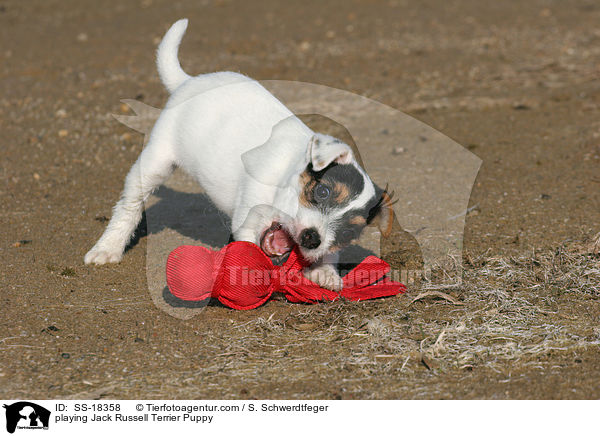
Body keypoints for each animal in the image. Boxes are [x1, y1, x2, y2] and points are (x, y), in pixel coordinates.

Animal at [84, 18, 394, 290]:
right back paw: (107, 248)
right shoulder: (248, 223)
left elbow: (327, 254)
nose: (311, 238)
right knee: (129, 206)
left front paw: (326, 273)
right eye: (323, 192)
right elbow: (251, 254)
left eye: (348, 232)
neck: (282, 180)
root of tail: (189, 81)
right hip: (155, 161)